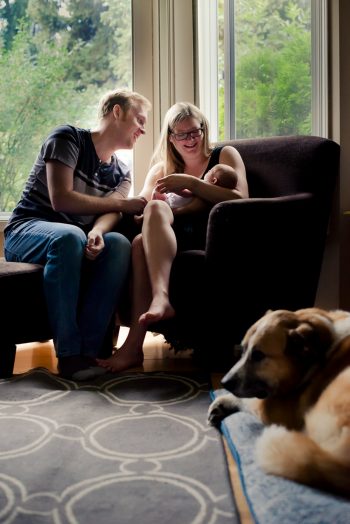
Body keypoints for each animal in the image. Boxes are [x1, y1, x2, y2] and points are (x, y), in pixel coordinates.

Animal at [208, 308, 350, 500]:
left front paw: (221, 401)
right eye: (242, 350)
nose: (224, 382)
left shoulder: (278, 409)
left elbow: (252, 400)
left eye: (258, 355)